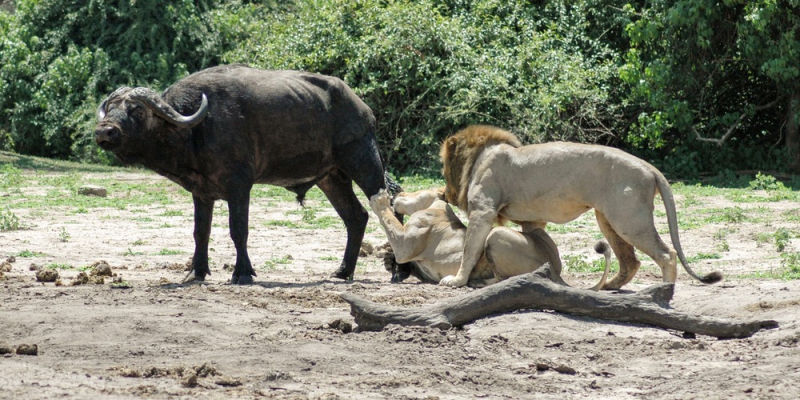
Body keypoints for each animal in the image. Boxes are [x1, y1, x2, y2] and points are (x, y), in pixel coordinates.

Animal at [94, 64, 388, 284]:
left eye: (136, 110)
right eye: (111, 108)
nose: (104, 131)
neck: (196, 129)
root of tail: (363, 109)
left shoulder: (239, 187)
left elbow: (239, 230)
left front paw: (243, 273)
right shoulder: (201, 193)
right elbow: (200, 232)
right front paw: (196, 271)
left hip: (365, 162)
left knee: (384, 211)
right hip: (332, 178)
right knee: (356, 217)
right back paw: (343, 271)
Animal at [372, 188, 608, 288]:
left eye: (412, 192)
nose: (397, 194)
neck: (438, 208)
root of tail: (556, 268)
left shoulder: (406, 244)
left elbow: (389, 219)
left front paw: (379, 200)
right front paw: (387, 258)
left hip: (495, 234)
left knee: (507, 279)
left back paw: (476, 282)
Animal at [438, 123, 724, 290]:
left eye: (442, 168)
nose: (442, 193)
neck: (480, 155)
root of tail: (650, 167)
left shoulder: (483, 210)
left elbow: (469, 250)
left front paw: (456, 280)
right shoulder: (530, 219)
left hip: (629, 220)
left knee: (666, 254)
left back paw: (663, 292)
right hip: (608, 219)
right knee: (630, 261)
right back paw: (609, 287)